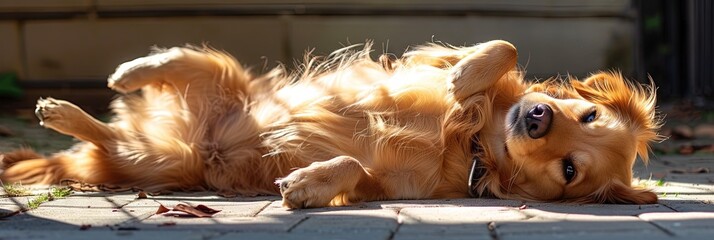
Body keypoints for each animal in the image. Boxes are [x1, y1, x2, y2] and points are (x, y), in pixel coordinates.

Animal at [0, 40, 660, 207]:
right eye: (587, 111)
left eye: (570, 169)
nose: (539, 117)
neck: (476, 139)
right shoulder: (422, 62)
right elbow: (501, 49)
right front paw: (466, 77)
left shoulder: (388, 183)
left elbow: (351, 169)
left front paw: (308, 185)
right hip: (222, 80)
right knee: (187, 60)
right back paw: (129, 71)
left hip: (164, 163)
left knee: (110, 141)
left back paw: (62, 112)